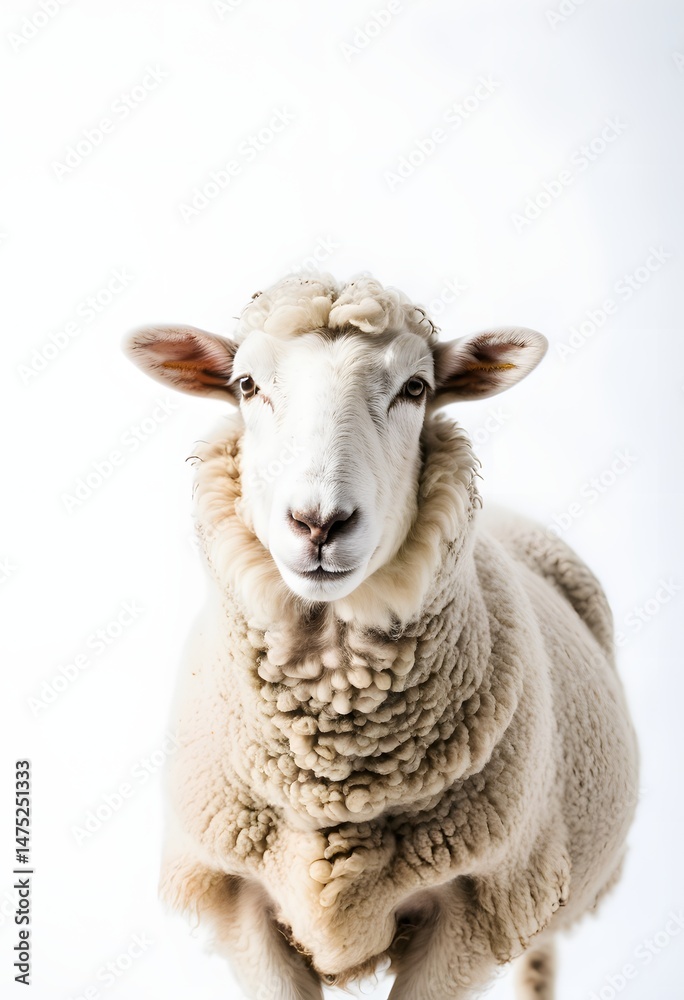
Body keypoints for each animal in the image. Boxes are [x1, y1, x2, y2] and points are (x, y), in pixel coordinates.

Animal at [124, 272, 638, 1000]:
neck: (336, 773)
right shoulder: (239, 901)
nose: (318, 522)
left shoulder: (474, 908)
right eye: (247, 384)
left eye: (415, 388)